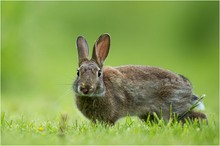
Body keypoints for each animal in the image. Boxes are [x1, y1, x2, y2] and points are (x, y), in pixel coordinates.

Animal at [73, 33, 206, 125]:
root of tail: (187, 86)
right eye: (78, 72)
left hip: (173, 108)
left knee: (199, 116)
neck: (103, 89)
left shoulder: (109, 116)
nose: (85, 88)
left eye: (99, 73)